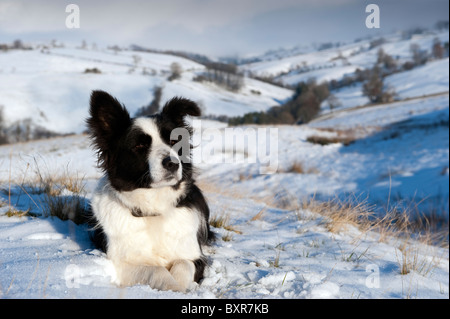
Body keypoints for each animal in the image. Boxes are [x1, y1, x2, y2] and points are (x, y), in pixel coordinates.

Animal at [88, 91, 216, 294]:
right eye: (139, 146)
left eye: (174, 141)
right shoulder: (121, 264)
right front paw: (171, 286)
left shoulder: (195, 257)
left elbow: (183, 263)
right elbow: (155, 270)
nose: (172, 163)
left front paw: (180, 287)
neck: (154, 209)